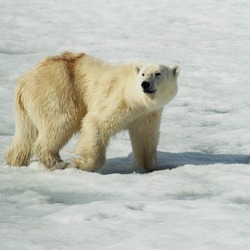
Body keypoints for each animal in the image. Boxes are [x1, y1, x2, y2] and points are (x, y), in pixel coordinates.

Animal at [4, 51, 179, 173]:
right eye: (143, 73)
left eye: (158, 73)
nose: (145, 84)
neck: (138, 100)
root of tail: (23, 81)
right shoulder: (119, 100)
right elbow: (96, 123)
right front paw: (80, 164)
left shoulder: (147, 114)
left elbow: (145, 138)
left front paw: (150, 167)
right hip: (56, 91)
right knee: (62, 121)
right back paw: (59, 163)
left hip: (27, 107)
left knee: (25, 135)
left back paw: (15, 161)